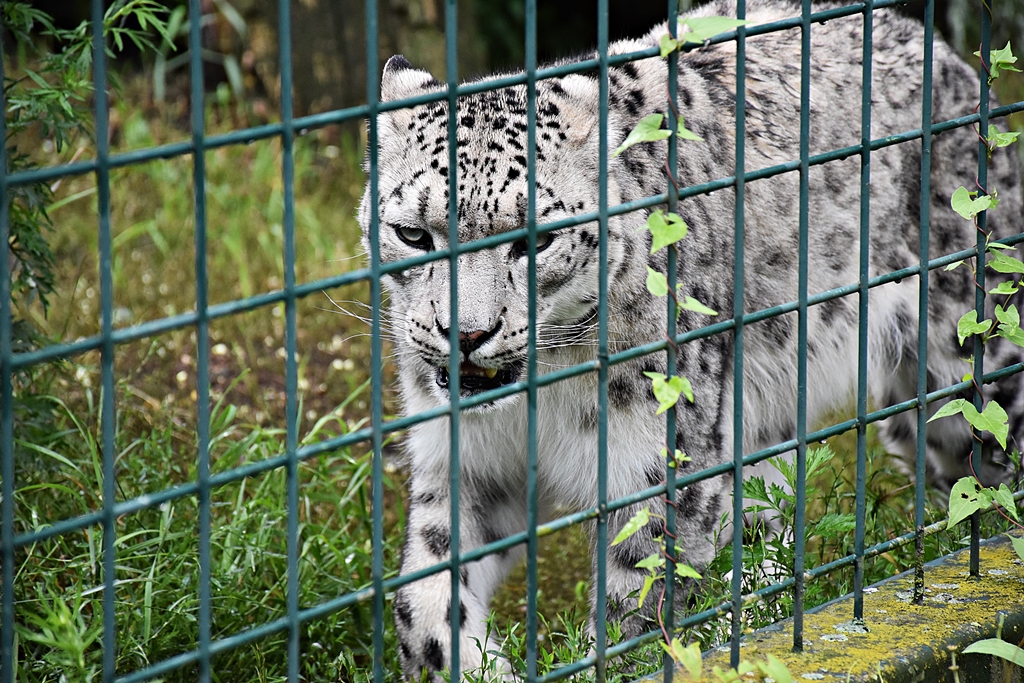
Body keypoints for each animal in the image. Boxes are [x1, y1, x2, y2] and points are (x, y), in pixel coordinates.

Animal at [357, 0, 1024, 678]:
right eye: (412, 234)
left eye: (537, 241)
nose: (465, 333)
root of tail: (932, 44)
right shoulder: (462, 462)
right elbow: (426, 590)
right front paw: (464, 659)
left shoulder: (658, 464)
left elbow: (642, 601)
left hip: (967, 351)